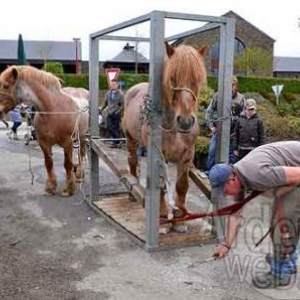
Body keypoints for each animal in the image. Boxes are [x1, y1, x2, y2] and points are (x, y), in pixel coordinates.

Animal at [0, 65, 89, 196]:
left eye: (6, 85)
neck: (53, 110)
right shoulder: (43, 143)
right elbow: (48, 163)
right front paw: (50, 187)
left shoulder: (68, 143)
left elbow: (67, 164)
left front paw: (68, 189)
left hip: (83, 137)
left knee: (81, 154)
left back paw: (79, 175)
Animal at [120, 41, 207, 230]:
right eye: (172, 78)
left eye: (198, 79)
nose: (185, 121)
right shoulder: (160, 156)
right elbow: (159, 187)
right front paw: (162, 221)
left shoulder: (187, 156)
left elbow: (181, 186)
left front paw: (180, 221)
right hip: (130, 139)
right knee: (132, 162)